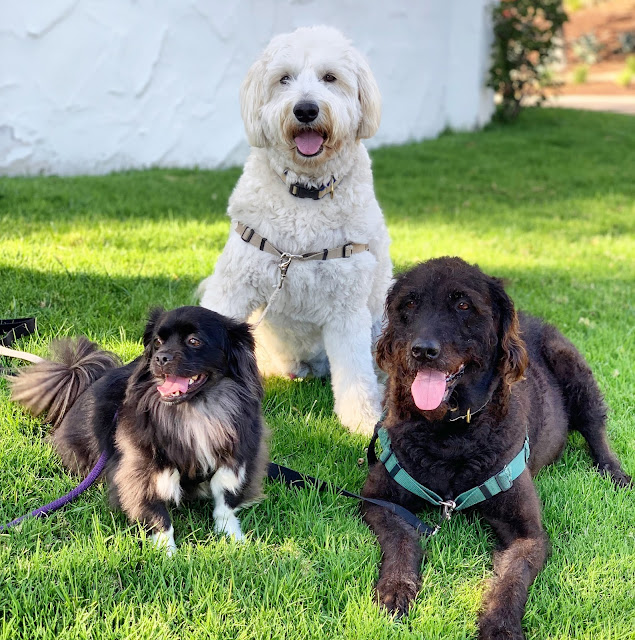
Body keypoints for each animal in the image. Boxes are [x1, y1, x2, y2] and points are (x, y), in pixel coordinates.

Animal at [11, 306, 268, 554]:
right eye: (157, 342)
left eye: (194, 341)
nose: (161, 357)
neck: (194, 411)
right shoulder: (144, 470)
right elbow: (158, 515)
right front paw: (167, 553)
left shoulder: (236, 458)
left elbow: (226, 500)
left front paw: (232, 537)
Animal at [198, 25, 392, 435]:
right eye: (283, 78)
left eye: (330, 77)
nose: (305, 109)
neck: (305, 194)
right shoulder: (234, 286)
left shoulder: (347, 308)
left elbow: (356, 375)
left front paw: (363, 421)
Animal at [361, 257, 631, 639]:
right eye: (409, 304)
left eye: (463, 305)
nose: (422, 350)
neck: (451, 434)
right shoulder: (378, 500)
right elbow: (402, 540)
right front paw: (396, 588)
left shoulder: (528, 533)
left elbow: (511, 579)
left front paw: (500, 625)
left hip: (574, 372)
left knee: (596, 428)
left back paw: (614, 472)